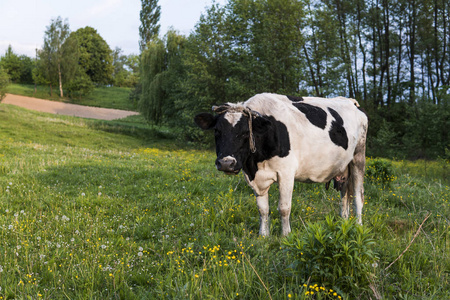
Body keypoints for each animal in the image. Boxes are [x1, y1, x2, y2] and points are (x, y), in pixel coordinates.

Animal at [195, 92, 368, 236]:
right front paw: (263, 235)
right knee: (344, 196)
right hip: (343, 168)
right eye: (217, 131)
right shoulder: (254, 176)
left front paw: (286, 235)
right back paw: (344, 223)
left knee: (358, 196)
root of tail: (350, 101)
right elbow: (263, 209)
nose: (226, 163)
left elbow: (284, 207)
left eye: (245, 132)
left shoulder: (286, 173)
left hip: (358, 157)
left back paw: (359, 226)